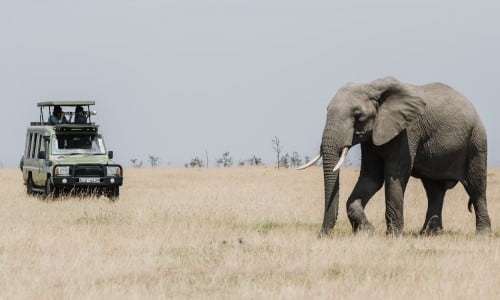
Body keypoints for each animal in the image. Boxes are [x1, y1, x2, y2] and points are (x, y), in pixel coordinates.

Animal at [298, 76, 490, 236]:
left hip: (476, 141)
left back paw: (482, 234)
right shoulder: (371, 139)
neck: (373, 87)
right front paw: (368, 232)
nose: (322, 235)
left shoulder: (407, 131)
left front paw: (393, 236)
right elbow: (371, 178)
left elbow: (394, 176)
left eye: (357, 115)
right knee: (434, 190)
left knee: (476, 187)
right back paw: (429, 234)